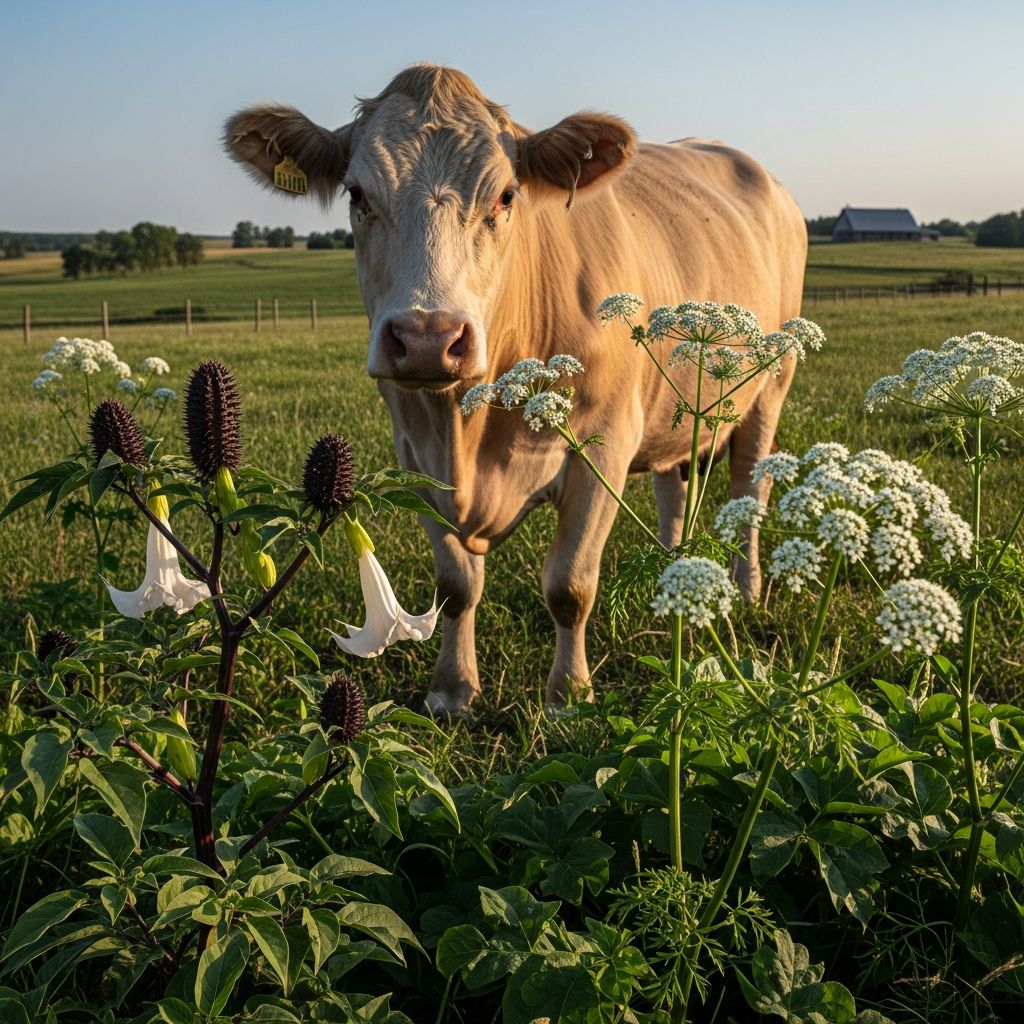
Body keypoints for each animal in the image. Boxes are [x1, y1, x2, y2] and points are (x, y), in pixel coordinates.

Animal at [225, 64, 807, 715]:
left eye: (506, 196)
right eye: (356, 195)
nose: (428, 338)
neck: (468, 433)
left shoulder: (605, 445)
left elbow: (570, 584)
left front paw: (568, 696)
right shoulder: (414, 455)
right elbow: (455, 585)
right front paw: (451, 690)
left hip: (770, 388)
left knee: (749, 490)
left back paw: (746, 589)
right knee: (673, 489)